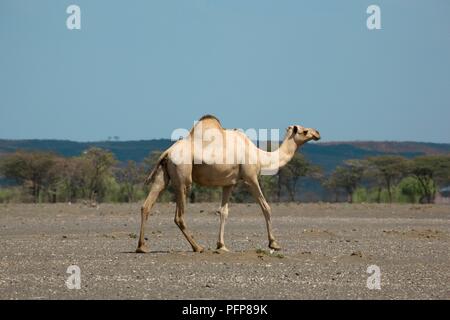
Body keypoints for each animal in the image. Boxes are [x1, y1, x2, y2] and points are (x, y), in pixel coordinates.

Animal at [136, 114, 320, 252]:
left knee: (146, 205)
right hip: (183, 177)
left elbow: (223, 212)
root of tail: (167, 152)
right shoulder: (250, 178)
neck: (259, 155)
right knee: (178, 215)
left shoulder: (229, 183)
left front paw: (221, 245)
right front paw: (274, 243)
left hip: (163, 175)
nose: (317, 133)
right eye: (304, 131)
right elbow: (265, 207)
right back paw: (198, 247)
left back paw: (142, 247)